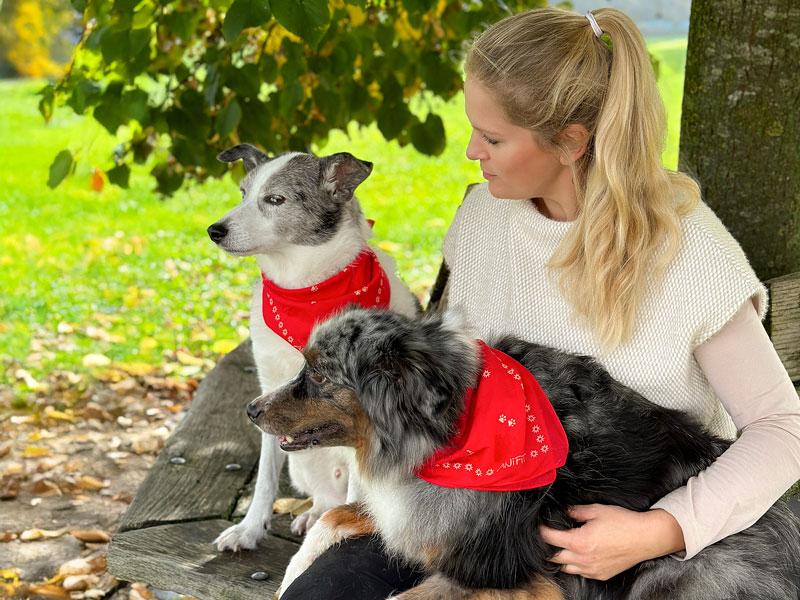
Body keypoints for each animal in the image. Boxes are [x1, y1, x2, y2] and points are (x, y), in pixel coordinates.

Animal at [208, 145, 418, 551]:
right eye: (242, 193)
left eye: (275, 199)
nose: (214, 230)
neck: (305, 291)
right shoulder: (269, 392)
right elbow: (264, 479)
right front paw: (249, 528)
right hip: (302, 463)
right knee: (324, 498)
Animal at [247, 306, 800, 599]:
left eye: (320, 377)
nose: (252, 409)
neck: (451, 432)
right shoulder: (417, 514)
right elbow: (333, 517)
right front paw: (291, 575)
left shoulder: (506, 573)